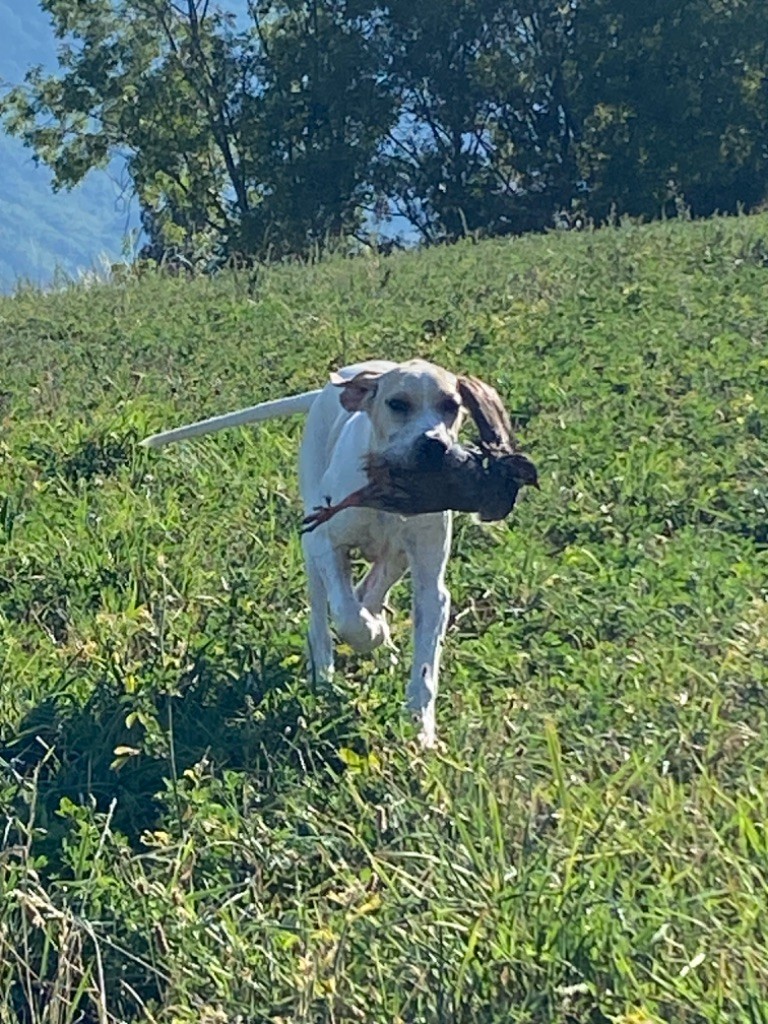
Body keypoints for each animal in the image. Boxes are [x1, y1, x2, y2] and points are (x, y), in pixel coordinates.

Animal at [143, 360, 514, 745]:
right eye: (398, 404)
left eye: (451, 406)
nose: (434, 445)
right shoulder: (326, 544)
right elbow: (347, 615)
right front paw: (369, 634)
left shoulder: (430, 584)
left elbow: (425, 661)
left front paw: (420, 729)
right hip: (312, 553)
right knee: (322, 621)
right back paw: (326, 679)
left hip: (395, 556)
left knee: (371, 588)